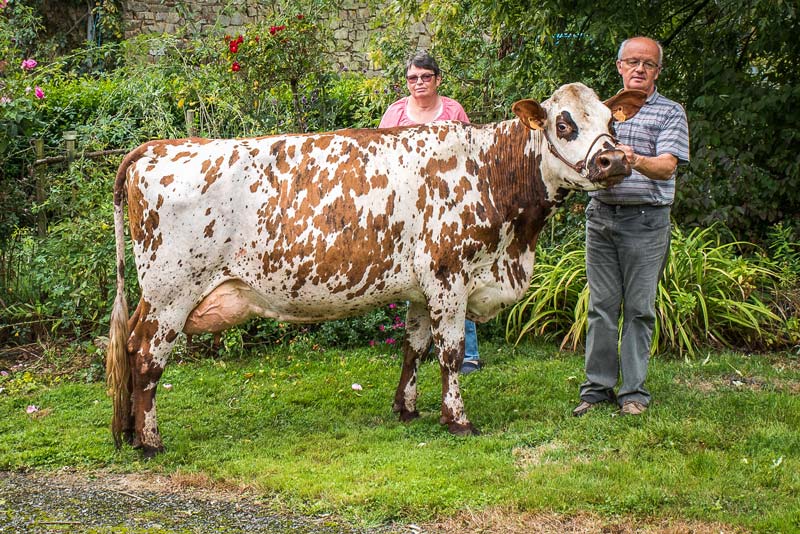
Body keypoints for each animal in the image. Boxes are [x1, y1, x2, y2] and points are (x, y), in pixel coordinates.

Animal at [106, 82, 648, 456]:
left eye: (612, 121)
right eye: (564, 124)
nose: (614, 160)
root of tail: (158, 146)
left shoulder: (422, 290)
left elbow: (414, 349)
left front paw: (406, 409)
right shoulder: (449, 278)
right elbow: (451, 354)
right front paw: (458, 419)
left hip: (159, 296)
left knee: (130, 348)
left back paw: (129, 431)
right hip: (171, 291)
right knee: (147, 357)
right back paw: (150, 441)